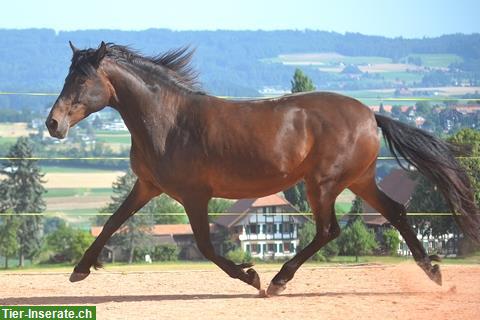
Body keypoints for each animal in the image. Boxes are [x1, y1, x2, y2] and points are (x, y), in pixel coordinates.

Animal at [44, 42, 476, 296]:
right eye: (67, 75)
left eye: (81, 78)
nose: (53, 124)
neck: (167, 121)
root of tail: (371, 115)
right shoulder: (147, 186)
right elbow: (112, 223)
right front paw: (79, 271)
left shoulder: (194, 195)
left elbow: (205, 246)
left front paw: (251, 276)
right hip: (359, 180)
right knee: (396, 213)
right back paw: (432, 271)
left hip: (323, 182)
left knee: (329, 230)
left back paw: (278, 281)